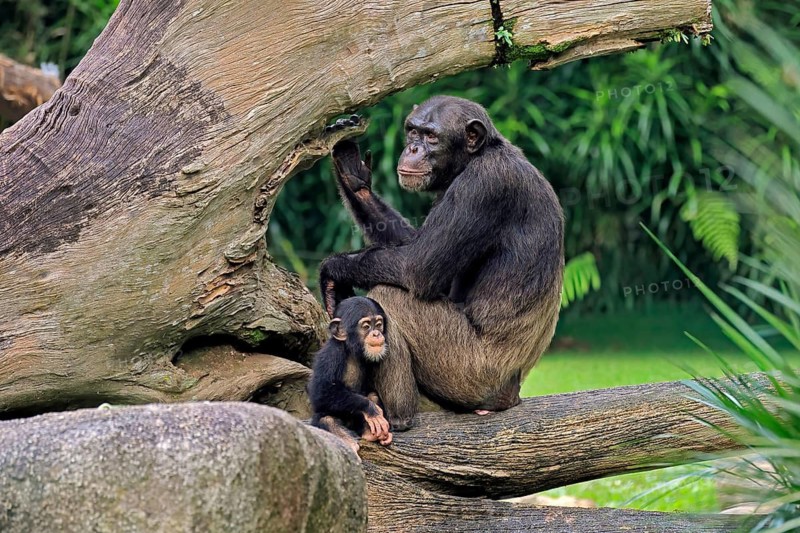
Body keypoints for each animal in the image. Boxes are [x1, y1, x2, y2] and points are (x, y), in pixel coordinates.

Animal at [309, 296, 393, 453]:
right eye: (366, 326)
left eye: (378, 325)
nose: (376, 334)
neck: (351, 349)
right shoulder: (331, 355)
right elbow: (321, 391)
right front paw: (371, 409)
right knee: (326, 418)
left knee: (373, 395)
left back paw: (370, 433)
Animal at [319, 96, 564, 430]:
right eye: (412, 131)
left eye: (432, 137)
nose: (413, 148)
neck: (477, 157)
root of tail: (513, 394)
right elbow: (413, 245)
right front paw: (353, 177)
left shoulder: (481, 187)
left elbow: (418, 266)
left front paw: (334, 268)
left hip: (468, 370)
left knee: (390, 294)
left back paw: (397, 415)